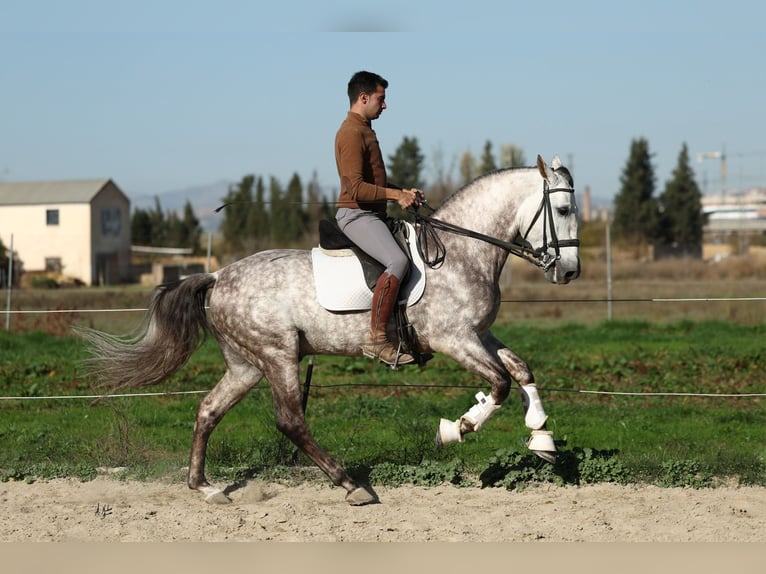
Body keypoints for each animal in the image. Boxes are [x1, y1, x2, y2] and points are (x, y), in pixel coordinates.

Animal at [79, 155, 584, 506]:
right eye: (562, 208)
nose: (570, 272)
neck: (460, 252)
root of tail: (218, 276)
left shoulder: (479, 335)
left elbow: (521, 370)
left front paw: (542, 438)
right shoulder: (453, 339)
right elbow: (498, 383)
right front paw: (456, 428)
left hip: (246, 364)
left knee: (208, 410)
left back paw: (206, 488)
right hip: (278, 355)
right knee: (290, 420)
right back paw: (349, 484)